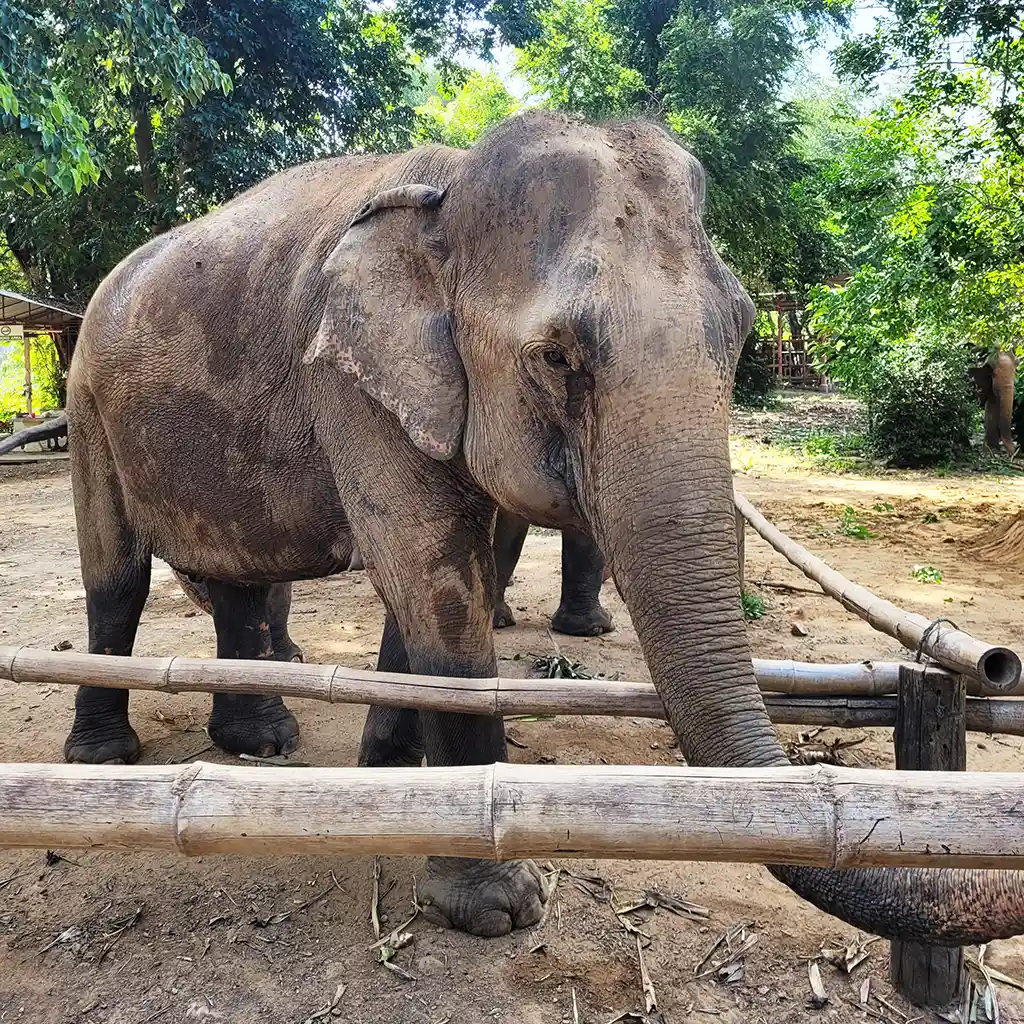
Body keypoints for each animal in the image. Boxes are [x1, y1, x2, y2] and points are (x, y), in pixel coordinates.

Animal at [64, 112, 1024, 942]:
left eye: (746, 332)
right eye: (558, 357)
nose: (998, 665)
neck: (447, 188)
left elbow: (447, 570)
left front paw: (389, 774)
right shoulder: (346, 380)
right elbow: (434, 581)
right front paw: (493, 909)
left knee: (238, 576)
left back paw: (261, 742)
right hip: (85, 405)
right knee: (118, 578)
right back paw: (106, 759)